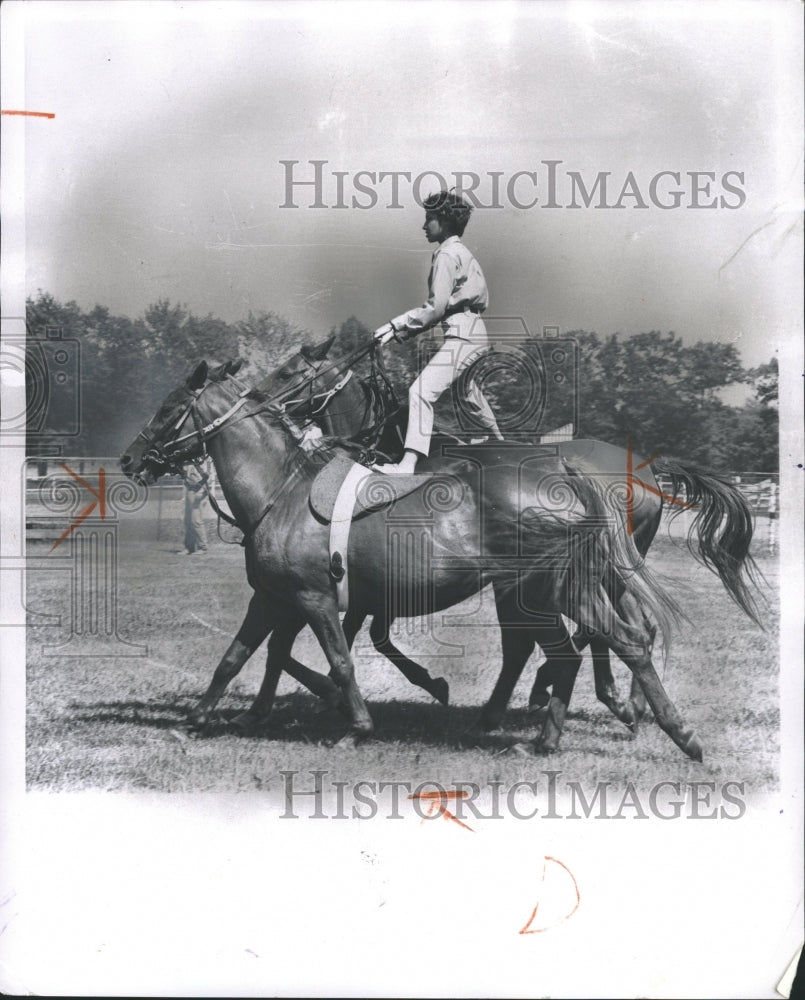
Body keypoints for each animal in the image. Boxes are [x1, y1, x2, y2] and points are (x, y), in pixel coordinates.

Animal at [118, 360, 752, 756]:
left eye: (168, 408)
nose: (129, 459)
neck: (283, 491)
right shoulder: (277, 599)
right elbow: (239, 657)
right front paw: (201, 721)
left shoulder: (315, 599)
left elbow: (338, 660)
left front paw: (356, 723)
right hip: (553, 589)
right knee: (593, 645)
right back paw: (556, 731)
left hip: (551, 590)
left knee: (608, 642)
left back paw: (653, 727)